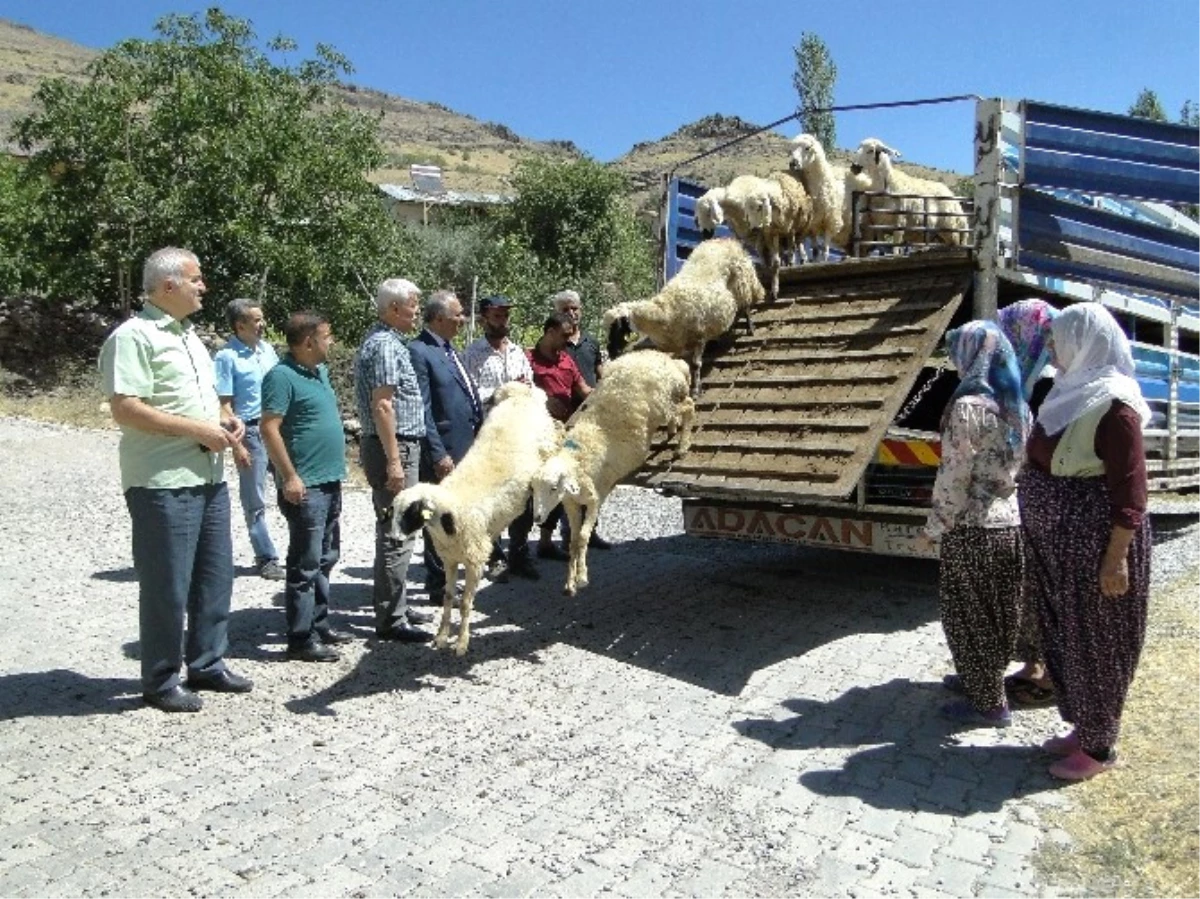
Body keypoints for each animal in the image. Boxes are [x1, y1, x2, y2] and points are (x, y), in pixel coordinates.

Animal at [391, 381, 564, 657]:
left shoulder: (475, 560)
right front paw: (441, 637)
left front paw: (461, 643)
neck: (450, 512)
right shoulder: (450, 559)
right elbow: (448, 597)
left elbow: (464, 604)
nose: (394, 540)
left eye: (410, 513)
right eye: (393, 512)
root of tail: (519, 391)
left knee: (555, 436)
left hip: (545, 438)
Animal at [532, 350, 696, 595]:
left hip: (664, 402)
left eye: (553, 488)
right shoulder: (572, 505)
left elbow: (583, 536)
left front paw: (581, 577)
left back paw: (682, 446)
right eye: (533, 489)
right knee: (681, 411)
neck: (577, 459)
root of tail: (670, 361)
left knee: (688, 405)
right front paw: (570, 582)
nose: (537, 517)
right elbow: (573, 540)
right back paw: (673, 430)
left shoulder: (594, 499)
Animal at [604, 235, 763, 396]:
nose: (611, 352)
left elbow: (695, 364)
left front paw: (696, 390)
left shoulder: (699, 337)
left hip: (742, 285)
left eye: (618, 327)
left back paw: (750, 329)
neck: (665, 311)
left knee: (746, 307)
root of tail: (724, 240)